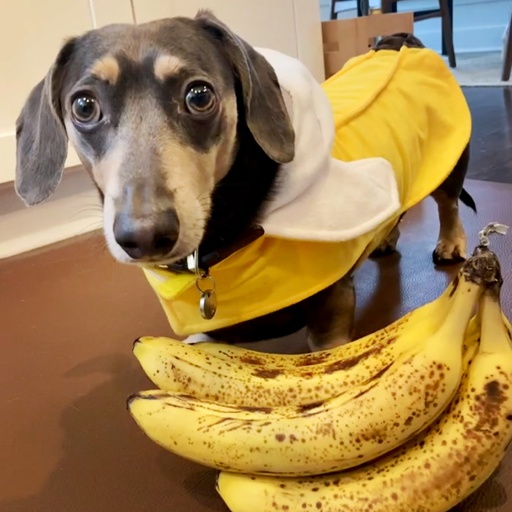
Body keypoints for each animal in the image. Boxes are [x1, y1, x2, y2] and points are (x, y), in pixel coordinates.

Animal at [14, 11, 475, 351]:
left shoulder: (332, 310)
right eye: (83, 106)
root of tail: (398, 40)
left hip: (451, 160)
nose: (144, 236)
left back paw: (450, 242)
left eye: (199, 95)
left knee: (448, 203)